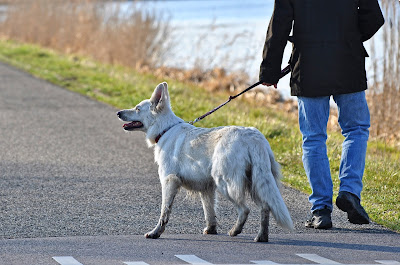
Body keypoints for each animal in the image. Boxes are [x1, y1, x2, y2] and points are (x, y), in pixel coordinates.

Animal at [117, 82, 292, 241]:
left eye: (137, 108)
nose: (118, 113)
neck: (165, 129)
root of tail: (254, 137)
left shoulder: (169, 181)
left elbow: (164, 211)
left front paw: (156, 232)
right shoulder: (206, 188)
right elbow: (209, 212)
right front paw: (211, 230)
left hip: (226, 183)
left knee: (245, 209)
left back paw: (235, 231)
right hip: (255, 183)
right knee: (265, 207)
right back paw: (261, 236)